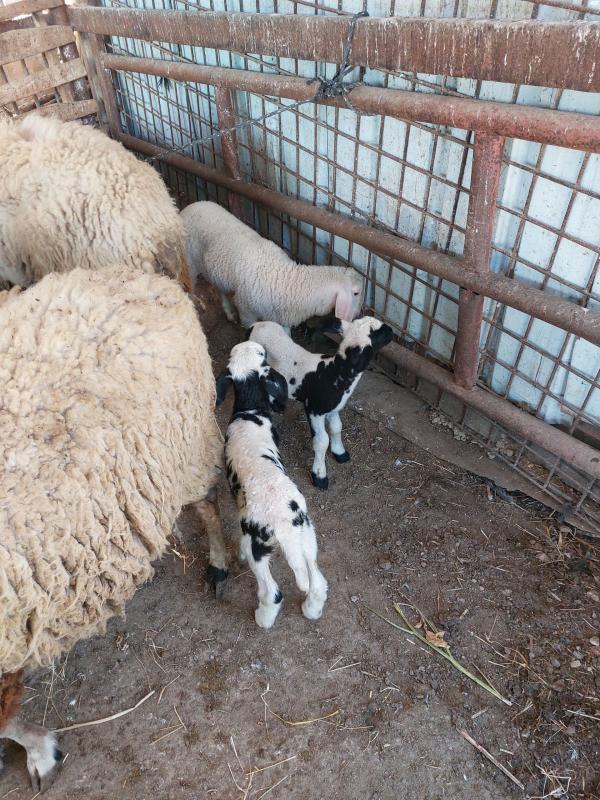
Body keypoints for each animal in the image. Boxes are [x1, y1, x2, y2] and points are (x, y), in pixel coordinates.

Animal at [180, 201, 364, 330]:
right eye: (356, 293)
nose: (357, 315)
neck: (289, 281)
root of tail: (190, 206)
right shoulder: (247, 312)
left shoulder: (281, 318)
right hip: (189, 262)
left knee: (220, 288)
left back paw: (229, 312)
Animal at [216, 341, 328, 629]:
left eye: (261, 354)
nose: (253, 344)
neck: (250, 412)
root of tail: (283, 525)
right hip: (307, 534)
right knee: (317, 582)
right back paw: (311, 610)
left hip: (259, 546)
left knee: (272, 592)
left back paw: (263, 618)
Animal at [250, 317, 393, 489]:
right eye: (378, 334)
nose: (392, 331)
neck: (333, 372)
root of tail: (256, 324)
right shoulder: (314, 409)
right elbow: (322, 441)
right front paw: (319, 475)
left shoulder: (333, 408)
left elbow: (337, 428)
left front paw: (340, 453)